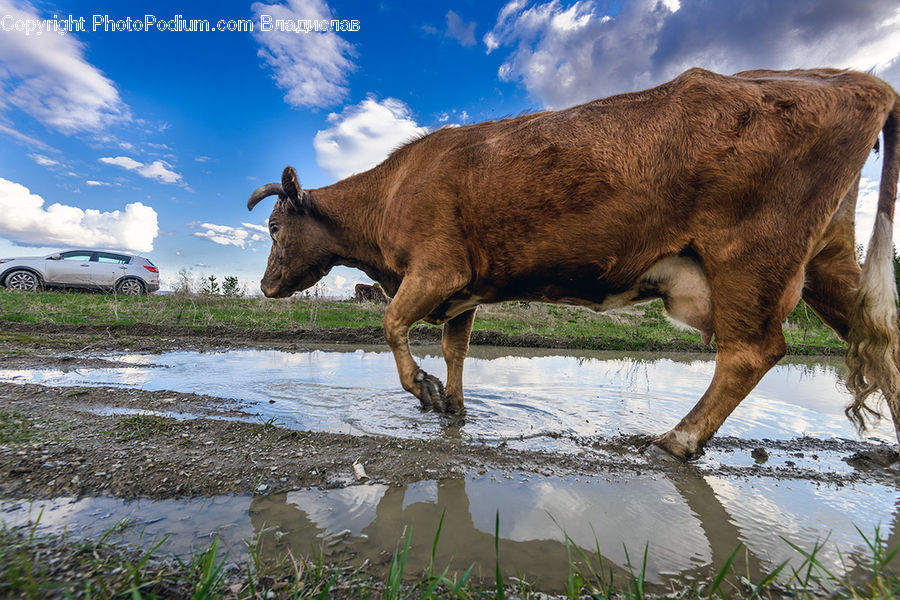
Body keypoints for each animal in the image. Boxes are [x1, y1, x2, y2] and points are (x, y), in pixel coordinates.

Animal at [248, 67, 900, 461]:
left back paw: (677, 439)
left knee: (751, 352)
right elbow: (457, 351)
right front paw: (454, 409)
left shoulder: (436, 271)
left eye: (276, 228)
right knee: (883, 343)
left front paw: (424, 392)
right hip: (827, 263)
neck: (390, 193)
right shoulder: (462, 293)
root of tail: (860, 82)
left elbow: (391, 326)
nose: (264, 284)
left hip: (750, 257)